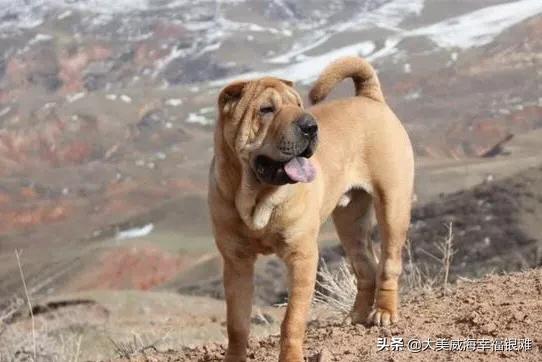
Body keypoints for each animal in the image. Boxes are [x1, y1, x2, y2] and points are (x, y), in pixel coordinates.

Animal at [210, 55, 414, 360]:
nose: (310, 125)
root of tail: (370, 98)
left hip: (393, 205)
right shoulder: (236, 262)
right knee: (366, 266)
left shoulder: (301, 256)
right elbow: (236, 323)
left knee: (388, 263)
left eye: (298, 105)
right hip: (350, 223)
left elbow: (292, 320)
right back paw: (356, 315)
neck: (256, 196)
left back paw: (384, 312)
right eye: (266, 109)